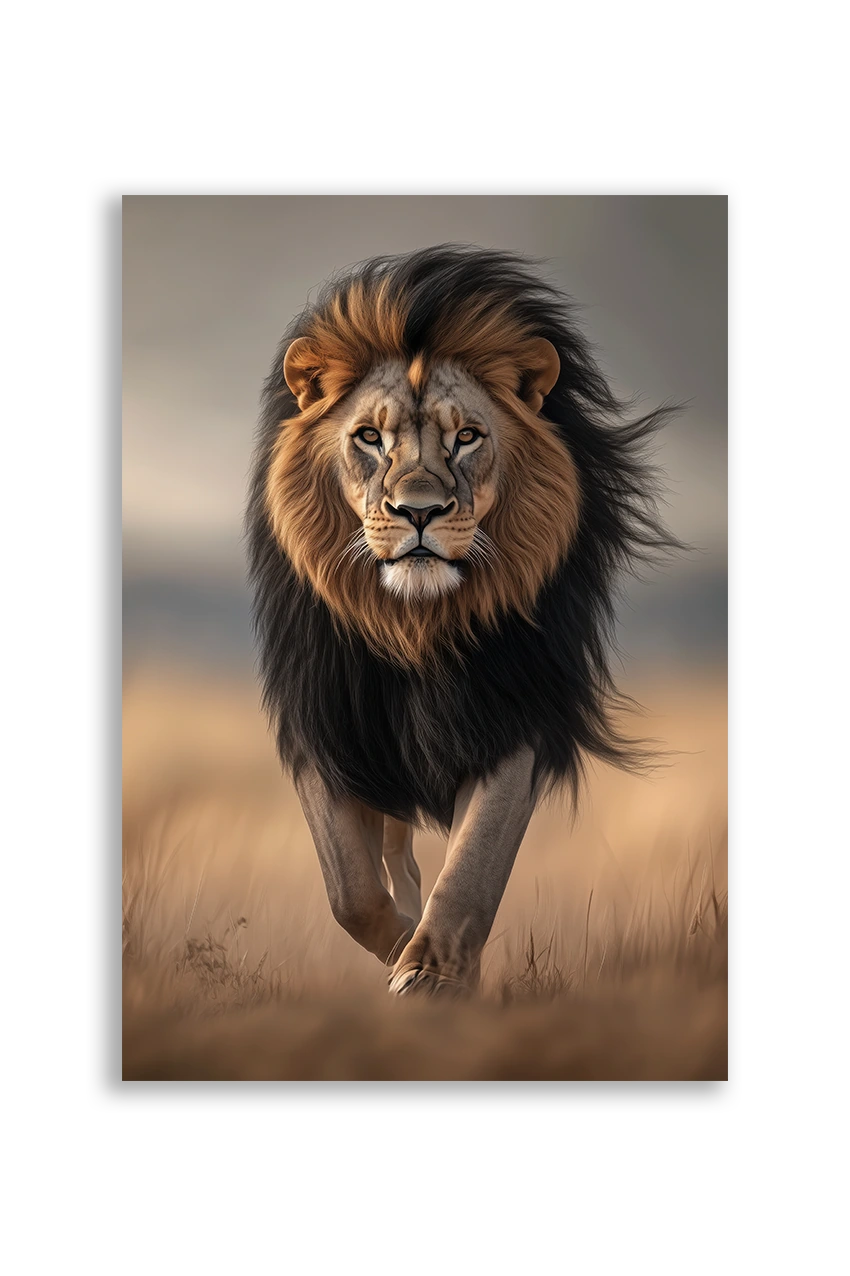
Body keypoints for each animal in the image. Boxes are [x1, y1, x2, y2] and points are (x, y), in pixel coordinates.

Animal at [247, 245, 675, 995]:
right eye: (369, 437)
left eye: (468, 438)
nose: (419, 511)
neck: (419, 629)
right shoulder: (326, 724)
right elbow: (350, 889)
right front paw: (402, 949)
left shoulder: (515, 713)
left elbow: (473, 864)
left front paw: (434, 972)